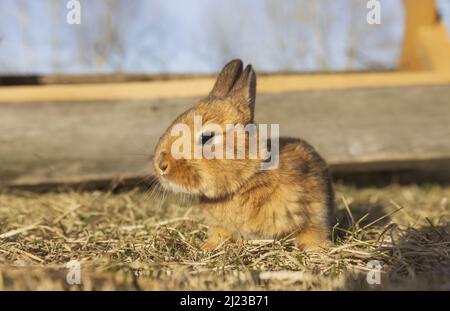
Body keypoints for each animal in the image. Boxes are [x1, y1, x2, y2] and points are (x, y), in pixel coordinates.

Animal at [154, 59, 334, 252]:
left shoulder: (313, 215)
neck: (249, 176)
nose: (161, 165)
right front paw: (206, 247)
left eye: (206, 137)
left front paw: (317, 249)